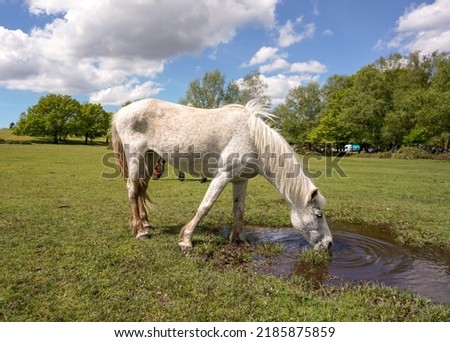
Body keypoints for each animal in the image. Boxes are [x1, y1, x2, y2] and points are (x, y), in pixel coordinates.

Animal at [111, 99, 332, 251]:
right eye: (318, 215)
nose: (329, 244)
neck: (253, 138)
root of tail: (122, 110)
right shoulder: (222, 176)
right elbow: (205, 206)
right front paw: (186, 240)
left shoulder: (240, 180)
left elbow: (239, 210)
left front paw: (240, 240)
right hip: (135, 156)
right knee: (132, 189)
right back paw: (140, 231)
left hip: (149, 158)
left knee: (141, 188)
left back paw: (145, 224)